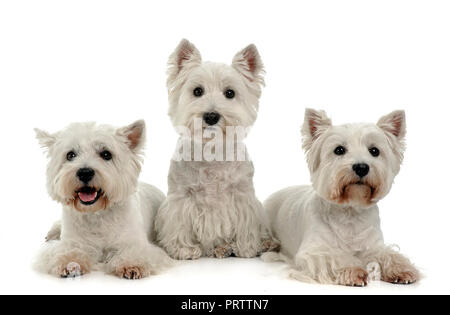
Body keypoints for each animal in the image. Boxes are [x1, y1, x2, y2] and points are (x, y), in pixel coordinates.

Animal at [34, 120, 171, 278]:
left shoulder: (134, 242)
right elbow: (69, 250)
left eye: (106, 154)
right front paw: (70, 263)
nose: (85, 172)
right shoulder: (73, 241)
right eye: (70, 155)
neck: (97, 214)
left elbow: (133, 252)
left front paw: (131, 265)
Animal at [156, 39, 280, 260]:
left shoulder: (242, 195)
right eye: (197, 91)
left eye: (230, 93)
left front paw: (246, 248)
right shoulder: (180, 196)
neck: (211, 151)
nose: (211, 116)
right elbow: (179, 224)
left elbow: (247, 224)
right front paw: (184, 250)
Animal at [262, 110, 420, 288]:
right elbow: (336, 258)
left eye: (374, 151)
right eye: (339, 150)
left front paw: (402, 269)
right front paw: (354, 271)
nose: (361, 167)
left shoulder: (372, 246)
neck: (350, 211)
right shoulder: (313, 252)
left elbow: (386, 254)